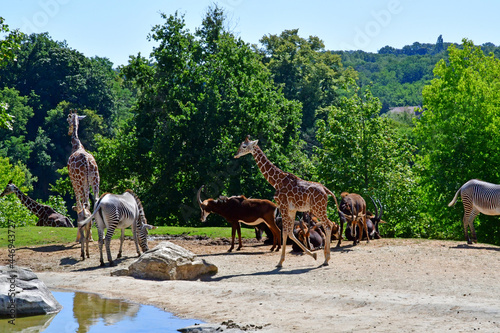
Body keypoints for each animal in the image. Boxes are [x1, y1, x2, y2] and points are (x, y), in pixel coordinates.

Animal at [233, 136, 344, 268]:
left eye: (244, 146)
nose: (236, 155)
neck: (276, 181)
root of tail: (326, 190)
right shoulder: (292, 209)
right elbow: (290, 232)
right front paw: (313, 255)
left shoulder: (283, 205)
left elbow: (284, 232)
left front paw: (280, 262)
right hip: (319, 208)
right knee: (329, 224)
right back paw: (325, 257)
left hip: (318, 208)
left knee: (328, 225)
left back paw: (326, 259)